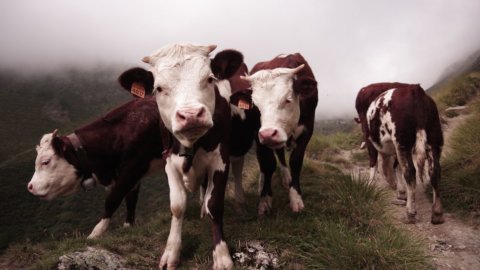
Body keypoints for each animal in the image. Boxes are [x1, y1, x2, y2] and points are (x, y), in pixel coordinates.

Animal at [28, 96, 168, 238]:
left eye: (45, 162)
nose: (30, 187)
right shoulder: (132, 176)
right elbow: (131, 200)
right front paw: (128, 227)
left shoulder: (132, 169)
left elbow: (112, 199)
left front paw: (95, 233)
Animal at [118, 43, 242, 270]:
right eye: (158, 88)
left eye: (210, 79)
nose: (191, 115)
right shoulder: (169, 162)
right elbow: (176, 207)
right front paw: (171, 252)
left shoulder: (221, 159)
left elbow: (214, 204)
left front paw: (221, 255)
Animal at [240, 53, 318, 216]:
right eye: (255, 105)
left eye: (287, 100)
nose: (268, 134)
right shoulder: (258, 134)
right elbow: (267, 163)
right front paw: (265, 199)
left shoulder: (308, 129)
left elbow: (295, 161)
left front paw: (296, 198)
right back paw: (262, 182)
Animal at [356, 83, 446, 225]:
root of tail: (415, 89)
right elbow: (395, 166)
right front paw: (401, 191)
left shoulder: (370, 139)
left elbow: (373, 163)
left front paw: (369, 185)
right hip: (434, 137)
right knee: (435, 171)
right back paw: (437, 214)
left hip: (402, 141)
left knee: (410, 172)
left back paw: (410, 213)